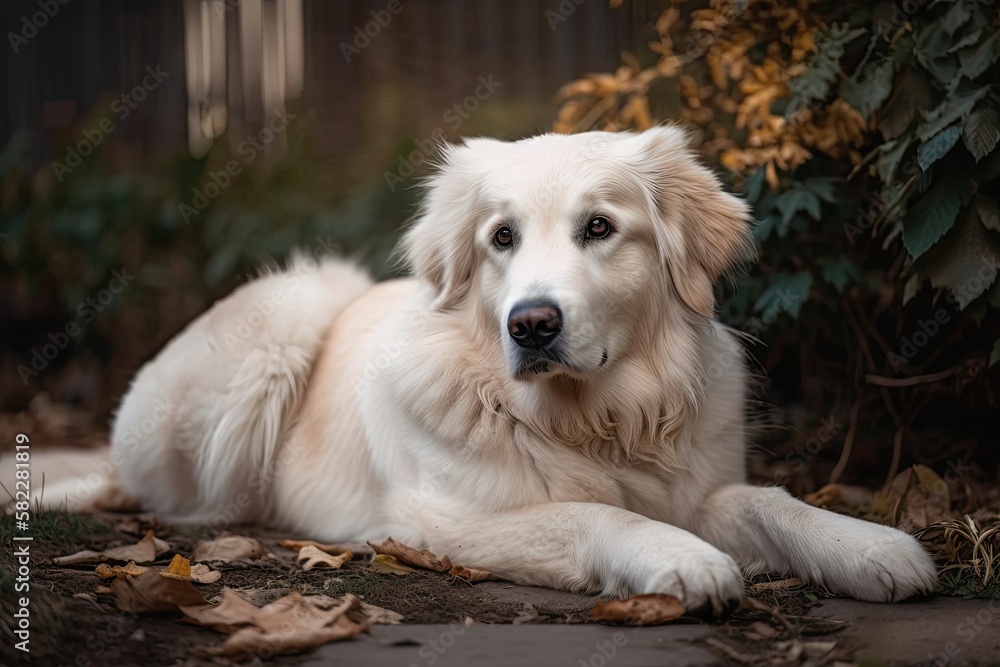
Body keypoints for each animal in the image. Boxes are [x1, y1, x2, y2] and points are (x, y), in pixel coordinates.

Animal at [60, 126, 936, 616]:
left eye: (599, 227)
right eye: (501, 238)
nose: (532, 324)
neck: (597, 418)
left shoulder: (700, 486)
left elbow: (770, 501)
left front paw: (870, 546)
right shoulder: (440, 519)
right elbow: (593, 513)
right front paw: (684, 559)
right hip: (288, 313)